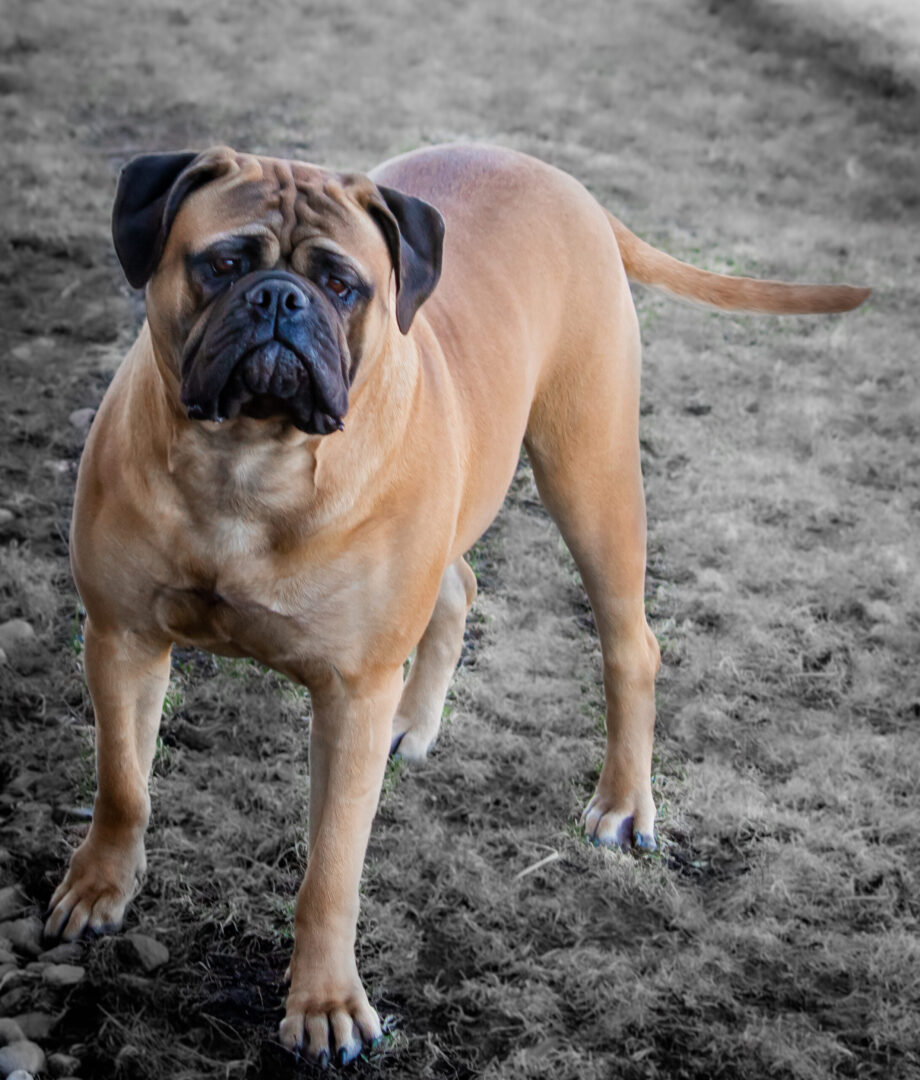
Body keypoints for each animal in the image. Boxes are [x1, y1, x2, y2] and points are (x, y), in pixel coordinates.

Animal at [44, 143, 868, 1062]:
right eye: (222, 264)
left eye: (342, 285)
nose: (279, 299)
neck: (248, 465)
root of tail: (564, 184)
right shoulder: (122, 637)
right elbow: (123, 783)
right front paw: (100, 886)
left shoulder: (352, 694)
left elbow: (332, 868)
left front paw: (325, 1001)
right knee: (460, 588)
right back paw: (418, 718)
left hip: (591, 476)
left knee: (630, 645)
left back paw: (623, 803)